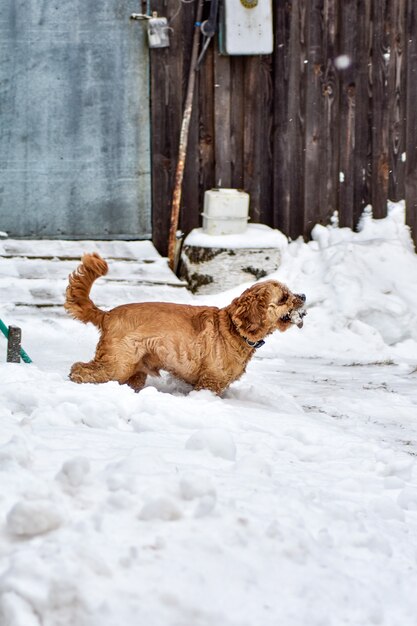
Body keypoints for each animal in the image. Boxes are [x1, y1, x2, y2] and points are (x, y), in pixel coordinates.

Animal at [65, 252, 306, 390]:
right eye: (284, 297)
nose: (303, 295)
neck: (233, 327)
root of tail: (107, 314)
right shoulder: (210, 381)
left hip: (134, 370)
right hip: (118, 364)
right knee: (81, 369)